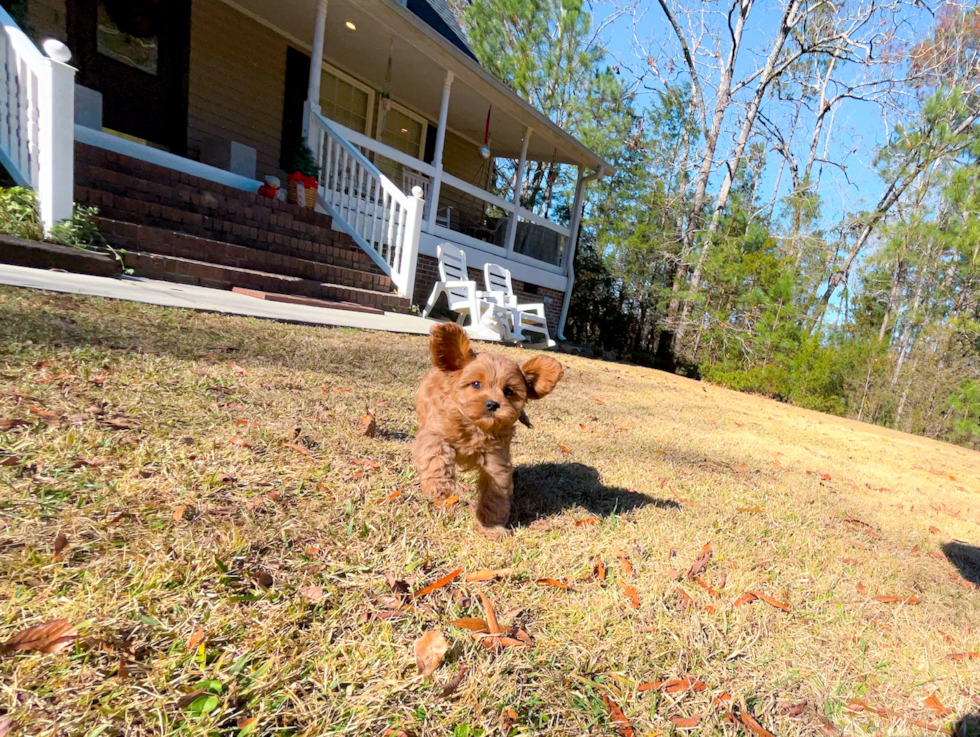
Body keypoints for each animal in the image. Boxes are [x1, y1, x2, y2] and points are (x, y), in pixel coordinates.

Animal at [416, 320, 568, 536]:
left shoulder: (496, 462)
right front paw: (438, 485)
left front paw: (492, 527)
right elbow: (435, 453)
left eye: (509, 391)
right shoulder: (434, 431)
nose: (492, 404)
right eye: (476, 384)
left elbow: (495, 495)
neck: (476, 428)